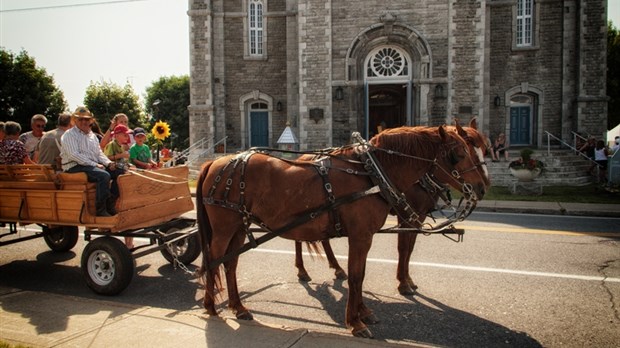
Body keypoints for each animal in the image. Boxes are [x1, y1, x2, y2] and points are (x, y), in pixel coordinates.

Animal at [196, 124, 486, 338]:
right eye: (459, 154)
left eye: (481, 150)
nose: (482, 187)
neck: (372, 173)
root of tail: (214, 163)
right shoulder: (361, 235)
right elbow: (358, 275)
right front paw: (356, 322)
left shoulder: (367, 235)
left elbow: (363, 273)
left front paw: (365, 311)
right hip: (224, 228)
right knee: (213, 260)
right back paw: (211, 305)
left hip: (239, 227)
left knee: (230, 264)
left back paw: (238, 306)